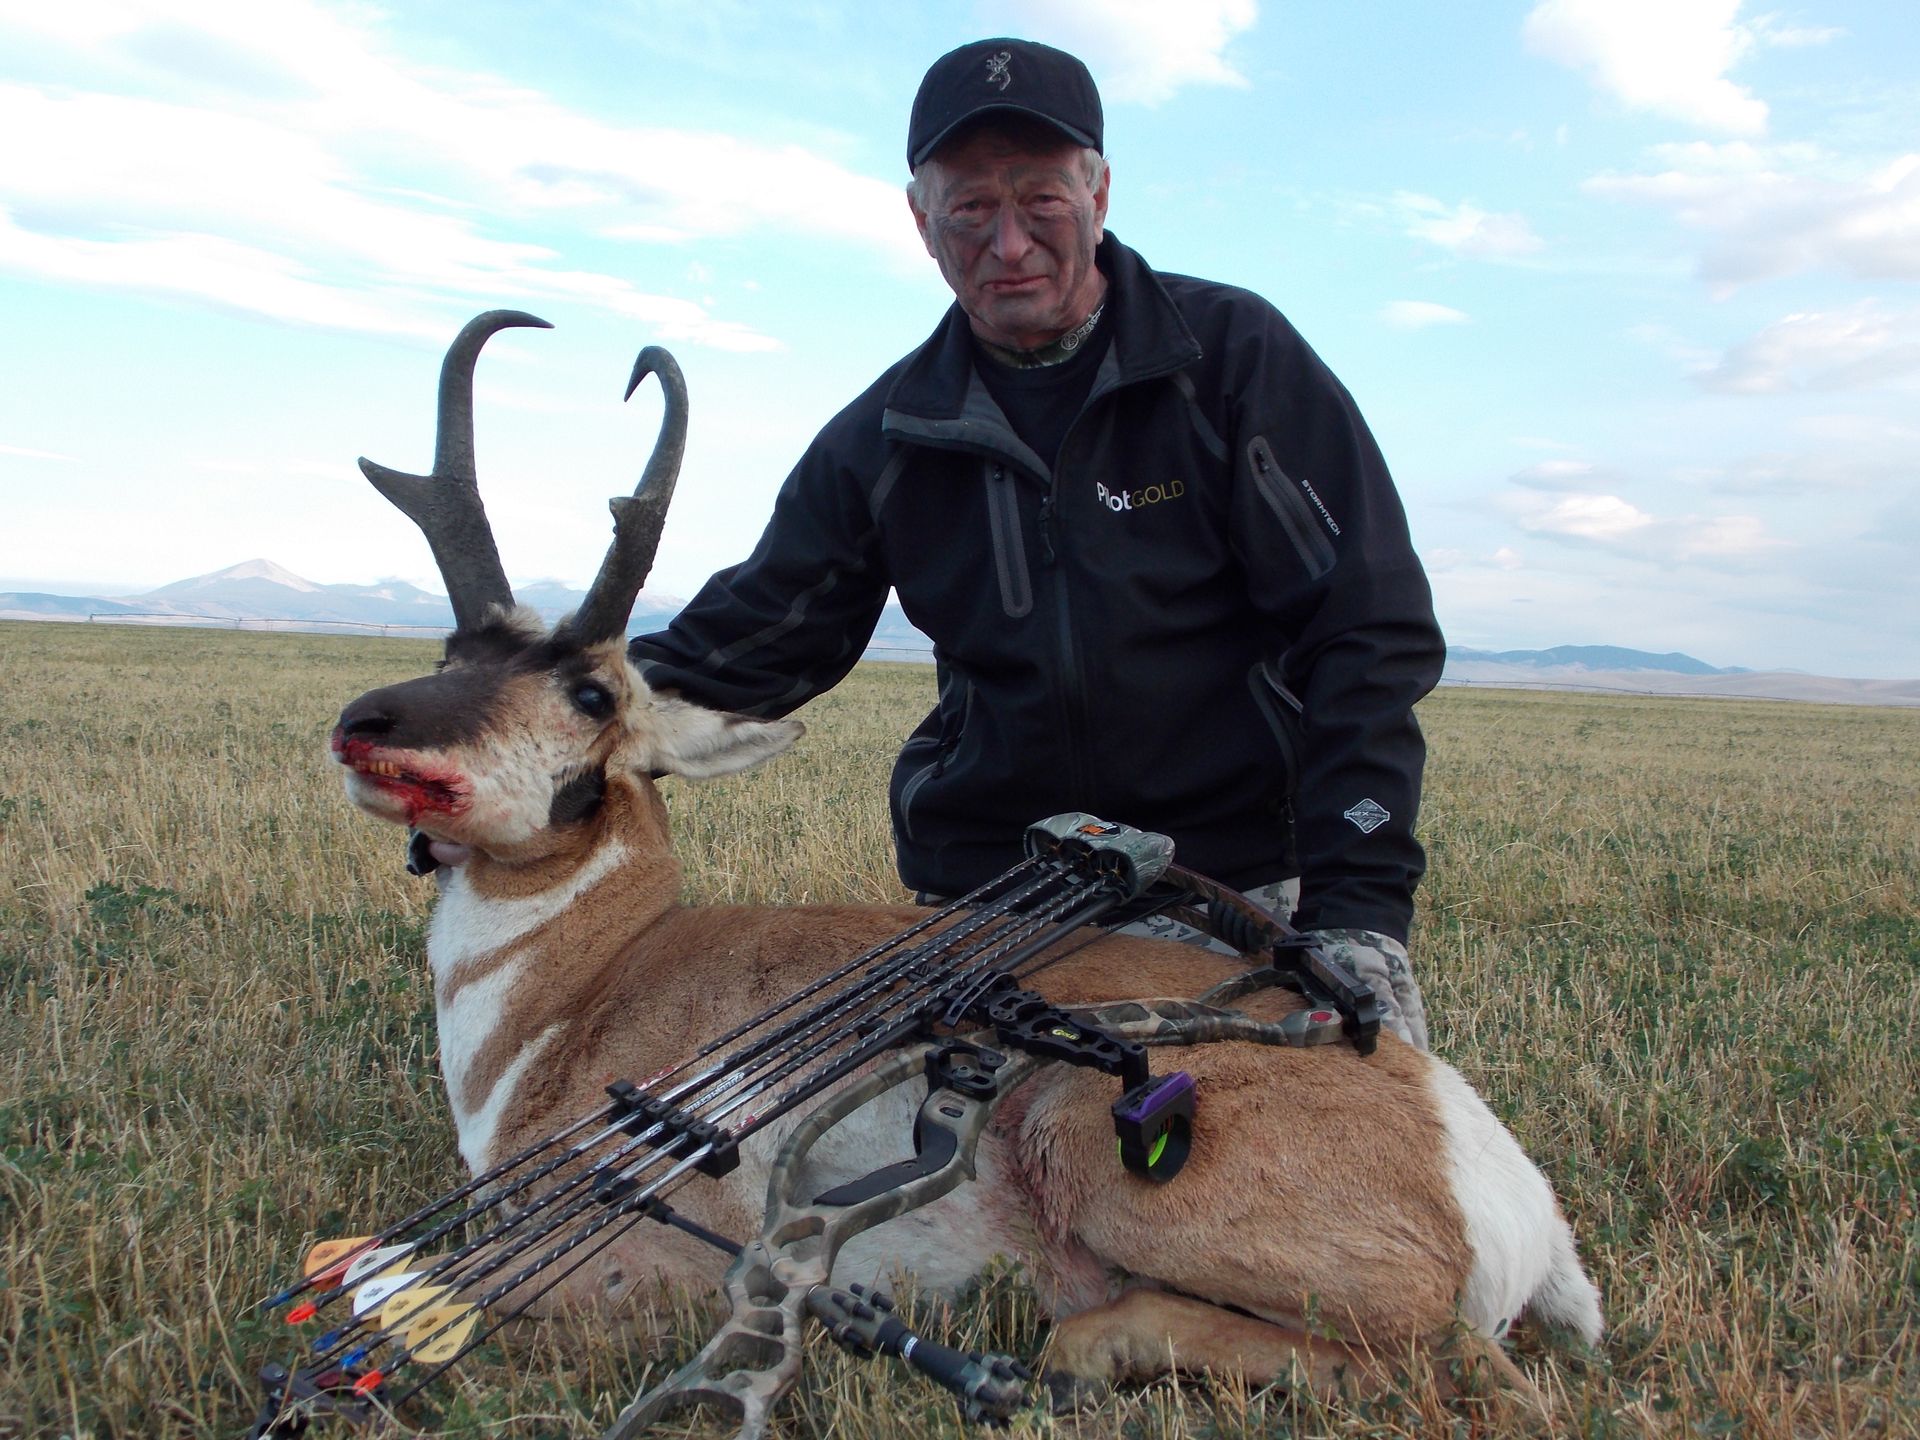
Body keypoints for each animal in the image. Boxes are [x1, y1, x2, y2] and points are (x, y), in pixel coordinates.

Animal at [329, 311, 1602, 1411]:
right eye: (452, 650)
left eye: (592, 692)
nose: (365, 721)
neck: (588, 980)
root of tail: (1482, 1156)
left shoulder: (647, 1264)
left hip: (1088, 1134)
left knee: (1452, 1361)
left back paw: (1084, 1347)